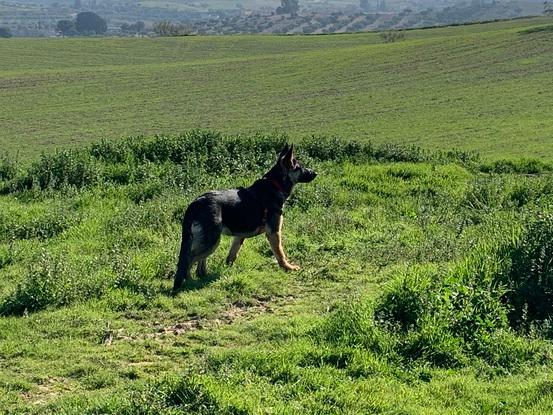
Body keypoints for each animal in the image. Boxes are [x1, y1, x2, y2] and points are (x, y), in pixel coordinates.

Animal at [175, 146, 316, 292]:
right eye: (299, 167)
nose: (315, 173)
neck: (275, 184)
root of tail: (196, 202)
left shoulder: (239, 236)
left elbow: (232, 255)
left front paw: (228, 271)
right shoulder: (274, 232)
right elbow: (280, 253)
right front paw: (288, 267)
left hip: (208, 241)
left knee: (199, 261)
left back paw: (203, 276)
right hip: (211, 241)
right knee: (189, 259)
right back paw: (189, 282)